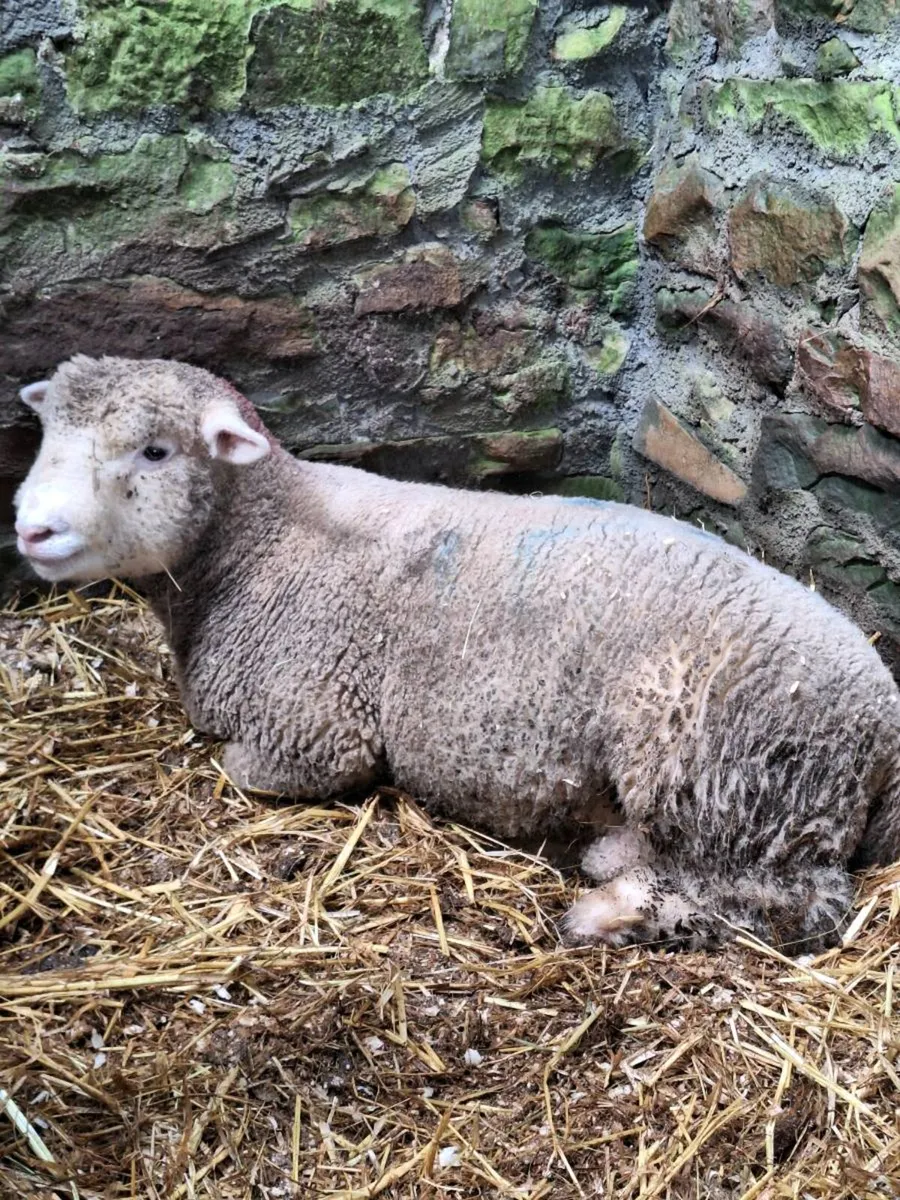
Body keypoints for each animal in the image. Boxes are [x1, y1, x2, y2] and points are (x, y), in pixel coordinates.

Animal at [13, 354, 900, 952]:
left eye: (156, 451)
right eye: (49, 433)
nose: (32, 529)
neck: (262, 542)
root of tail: (883, 722)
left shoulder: (314, 731)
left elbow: (243, 768)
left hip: (728, 775)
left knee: (790, 902)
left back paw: (605, 906)